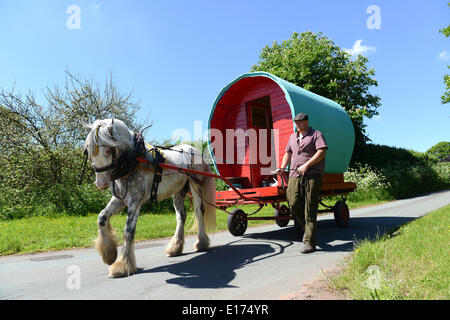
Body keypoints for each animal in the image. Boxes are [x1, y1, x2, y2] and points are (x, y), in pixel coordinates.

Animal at [85, 119, 218, 278]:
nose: (101, 184)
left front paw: (122, 265)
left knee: (199, 211)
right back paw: (175, 247)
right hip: (178, 191)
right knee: (181, 216)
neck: (134, 158)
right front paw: (109, 254)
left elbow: (128, 231)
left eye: (106, 150)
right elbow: (102, 218)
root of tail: (194, 150)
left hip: (195, 185)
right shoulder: (120, 199)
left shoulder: (135, 201)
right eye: (88, 151)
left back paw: (201, 242)